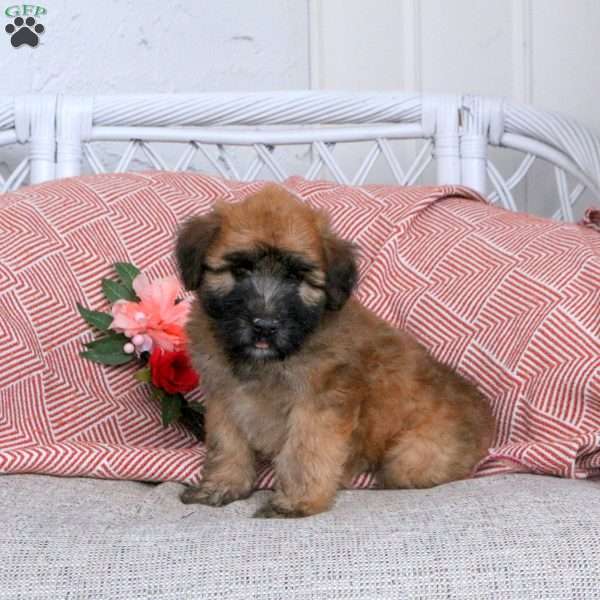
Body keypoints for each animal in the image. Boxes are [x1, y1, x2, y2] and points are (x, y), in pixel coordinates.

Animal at [176, 185, 494, 516]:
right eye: (239, 270)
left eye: (296, 277)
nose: (265, 325)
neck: (270, 362)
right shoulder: (224, 398)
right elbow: (226, 446)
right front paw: (222, 485)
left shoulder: (319, 405)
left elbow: (305, 452)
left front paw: (298, 502)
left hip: (410, 458)